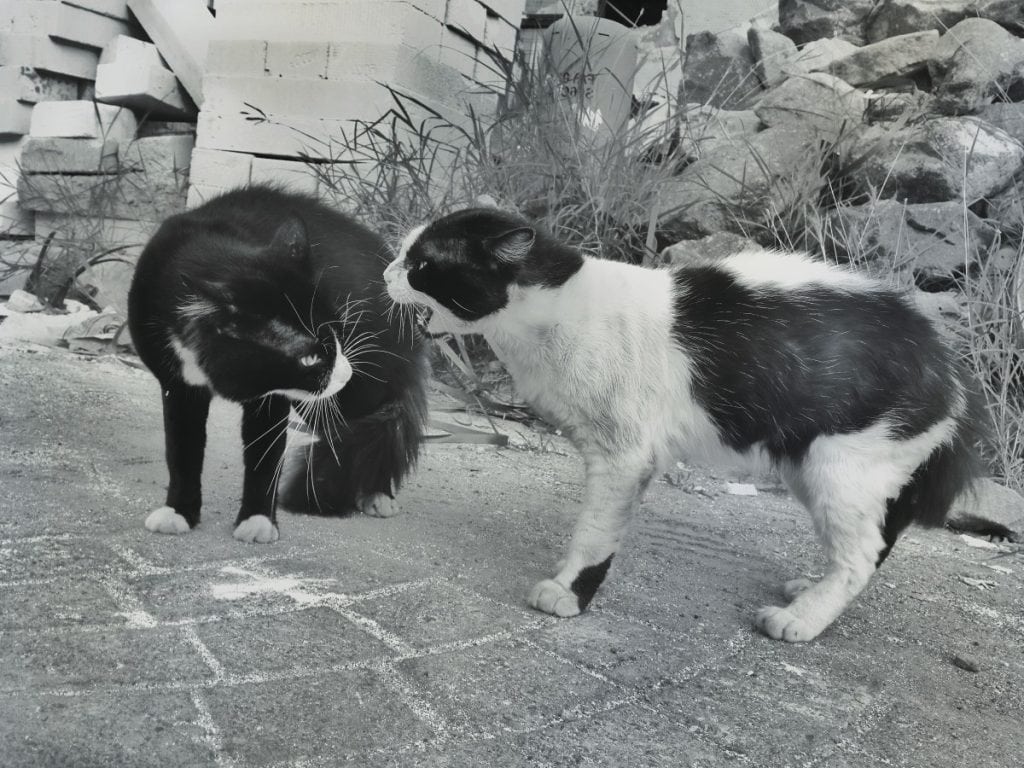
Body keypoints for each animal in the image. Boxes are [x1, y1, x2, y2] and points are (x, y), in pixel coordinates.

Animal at [129, 187, 428, 548]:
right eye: (310, 357)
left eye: (337, 333)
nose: (345, 372)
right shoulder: (179, 385)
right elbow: (182, 451)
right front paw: (179, 512)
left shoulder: (271, 400)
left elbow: (264, 458)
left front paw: (257, 521)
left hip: (350, 394)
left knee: (376, 425)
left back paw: (377, 494)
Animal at [385, 205, 983, 643]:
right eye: (404, 257)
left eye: (421, 265)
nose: (387, 271)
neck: (554, 315)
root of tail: (952, 368)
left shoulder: (623, 457)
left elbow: (594, 532)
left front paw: (568, 594)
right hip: (814, 468)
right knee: (872, 546)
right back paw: (812, 590)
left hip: (840, 468)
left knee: (859, 557)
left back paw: (802, 620)